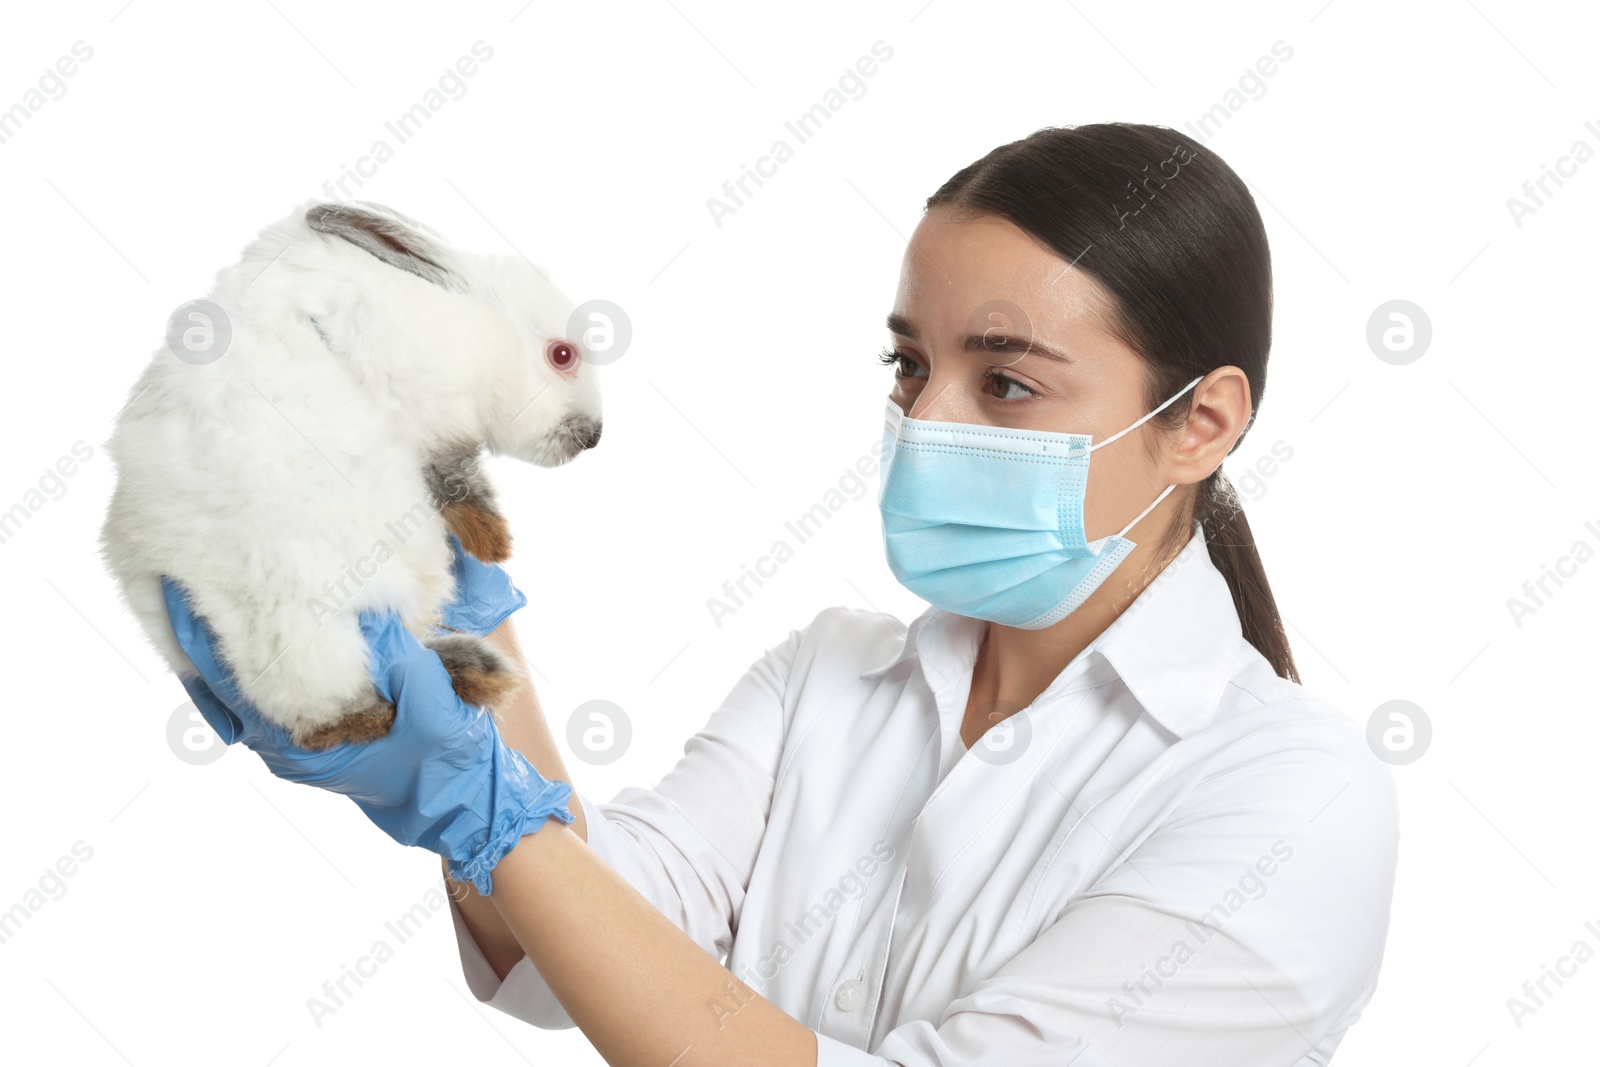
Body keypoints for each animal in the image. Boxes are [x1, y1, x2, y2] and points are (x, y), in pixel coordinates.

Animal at [100, 199, 601, 751]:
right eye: (562, 355)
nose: (594, 436)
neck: (469, 325)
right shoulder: (422, 409)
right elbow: (459, 479)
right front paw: (495, 542)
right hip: (308, 633)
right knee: (331, 718)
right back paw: (457, 681)